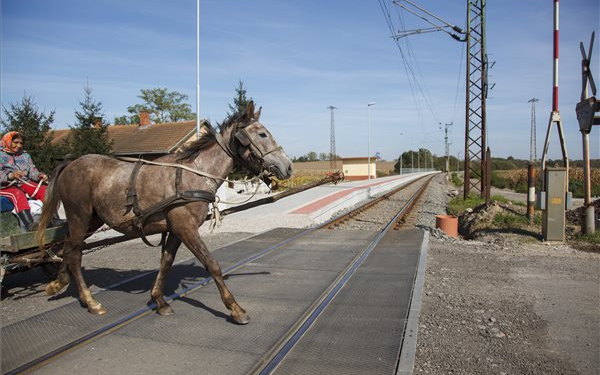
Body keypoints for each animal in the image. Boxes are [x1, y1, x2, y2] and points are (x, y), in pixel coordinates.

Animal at [35, 101, 292, 324]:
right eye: (262, 134)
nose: (288, 166)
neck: (194, 174)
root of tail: (70, 163)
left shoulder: (176, 230)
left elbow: (166, 262)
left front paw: (159, 300)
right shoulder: (186, 228)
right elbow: (212, 264)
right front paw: (235, 308)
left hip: (92, 220)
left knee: (68, 249)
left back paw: (58, 283)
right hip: (79, 216)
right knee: (75, 254)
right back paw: (90, 301)